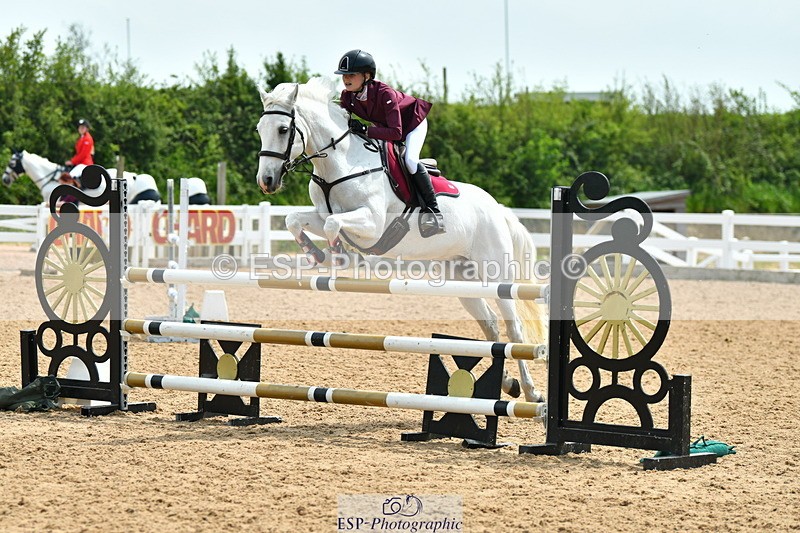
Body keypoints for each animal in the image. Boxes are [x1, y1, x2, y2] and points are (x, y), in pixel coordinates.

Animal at [254, 78, 547, 402]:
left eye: (283, 129)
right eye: (259, 128)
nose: (266, 181)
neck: (340, 164)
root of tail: (498, 209)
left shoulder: (372, 223)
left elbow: (333, 224)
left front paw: (339, 253)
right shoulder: (320, 215)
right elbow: (295, 220)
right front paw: (317, 254)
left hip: (497, 275)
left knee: (514, 329)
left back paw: (532, 392)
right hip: (462, 278)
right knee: (491, 328)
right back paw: (507, 384)